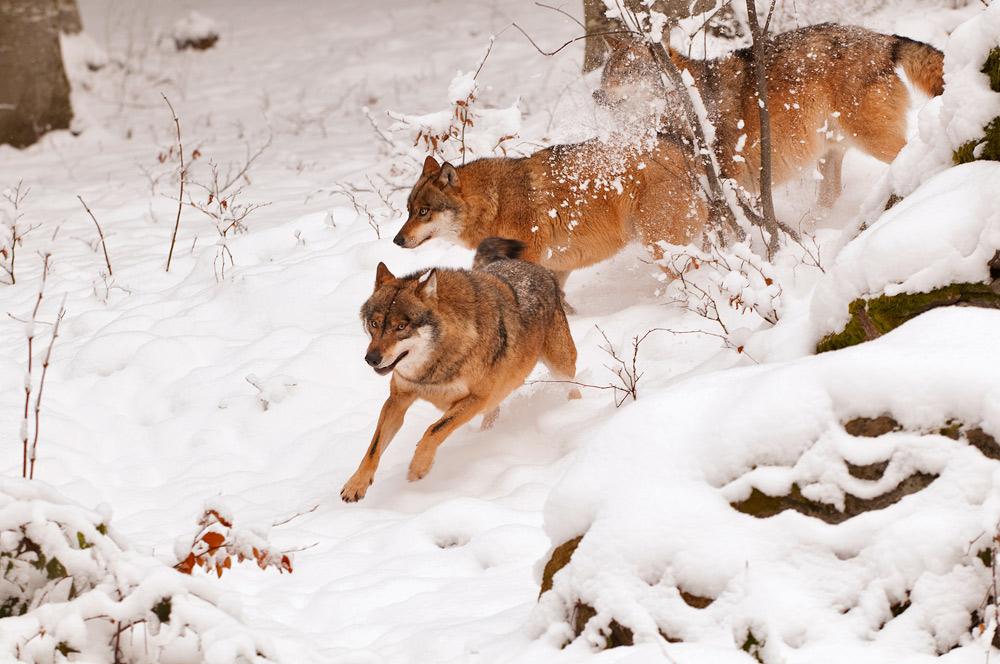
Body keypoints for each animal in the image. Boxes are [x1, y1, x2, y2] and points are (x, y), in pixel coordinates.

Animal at [344, 236, 580, 500]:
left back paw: (576, 410)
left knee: (573, 387)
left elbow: (433, 430)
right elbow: (374, 446)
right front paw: (355, 484)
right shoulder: (398, 398)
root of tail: (537, 268)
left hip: (562, 367)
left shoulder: (476, 399)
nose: (371, 358)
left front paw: (419, 467)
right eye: (374, 324)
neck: (434, 365)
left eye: (401, 327)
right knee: (494, 413)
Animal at [392, 136, 712, 288]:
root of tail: (691, 155)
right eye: (409, 211)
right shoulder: (558, 266)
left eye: (424, 212)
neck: (495, 203)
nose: (396, 241)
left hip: (660, 245)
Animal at [592, 23, 944, 205]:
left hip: (874, 140)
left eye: (629, 72)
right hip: (830, 153)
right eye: (606, 75)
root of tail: (883, 38)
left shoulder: (732, 184)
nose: (597, 95)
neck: (693, 106)